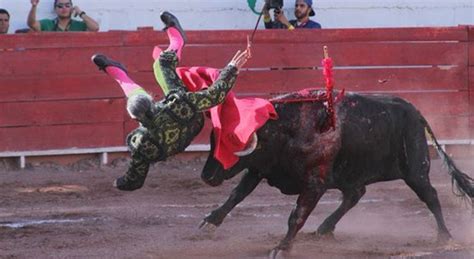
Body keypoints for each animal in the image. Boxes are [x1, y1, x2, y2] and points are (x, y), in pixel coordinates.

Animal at [198, 91, 472, 256]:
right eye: (212, 140)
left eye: (231, 143)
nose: (206, 176)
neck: (287, 129)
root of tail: (415, 111)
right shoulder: (258, 168)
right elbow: (237, 195)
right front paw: (210, 222)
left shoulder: (315, 183)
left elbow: (296, 216)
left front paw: (282, 248)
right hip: (352, 174)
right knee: (355, 194)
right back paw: (325, 227)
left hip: (416, 170)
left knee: (431, 196)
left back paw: (445, 237)